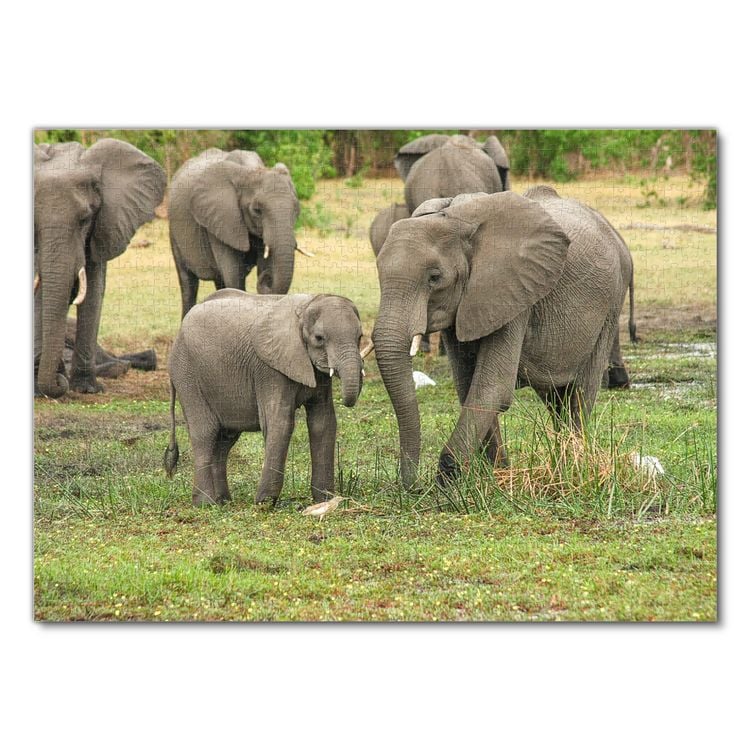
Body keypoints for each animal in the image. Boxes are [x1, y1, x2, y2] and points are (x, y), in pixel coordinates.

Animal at [164, 289, 366, 507]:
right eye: (319, 338)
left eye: (360, 336)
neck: (306, 307)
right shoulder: (270, 370)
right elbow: (280, 422)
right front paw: (264, 503)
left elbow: (323, 422)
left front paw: (325, 500)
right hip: (187, 375)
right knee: (205, 433)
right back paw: (205, 503)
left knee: (225, 440)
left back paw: (223, 502)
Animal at [168, 148, 308, 319]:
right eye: (257, 210)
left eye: (296, 209)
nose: (267, 278)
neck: (250, 171)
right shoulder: (221, 220)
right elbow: (233, 275)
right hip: (174, 233)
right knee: (188, 284)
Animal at [371, 188, 634, 488]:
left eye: (434, 278)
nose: (412, 486)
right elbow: (467, 384)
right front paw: (495, 474)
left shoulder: (513, 292)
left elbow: (492, 387)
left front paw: (448, 481)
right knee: (556, 397)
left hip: (611, 304)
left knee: (579, 393)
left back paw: (572, 466)